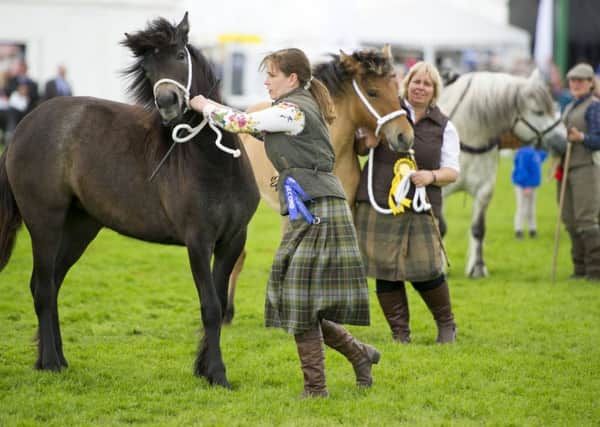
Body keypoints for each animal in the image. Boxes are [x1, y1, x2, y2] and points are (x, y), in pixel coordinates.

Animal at [0, 13, 258, 390]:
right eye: (148, 67)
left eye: (180, 54)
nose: (167, 103)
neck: (213, 160)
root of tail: (22, 128)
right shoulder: (198, 242)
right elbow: (210, 307)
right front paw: (218, 374)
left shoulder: (232, 240)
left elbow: (220, 303)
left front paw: (205, 369)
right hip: (45, 223)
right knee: (43, 288)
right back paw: (49, 363)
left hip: (80, 227)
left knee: (51, 284)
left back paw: (57, 359)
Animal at [436, 70, 568, 278]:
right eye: (538, 111)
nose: (564, 142)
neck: (466, 136)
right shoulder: (439, 191)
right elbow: (440, 228)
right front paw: (440, 267)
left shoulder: (484, 191)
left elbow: (478, 229)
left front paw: (478, 267)